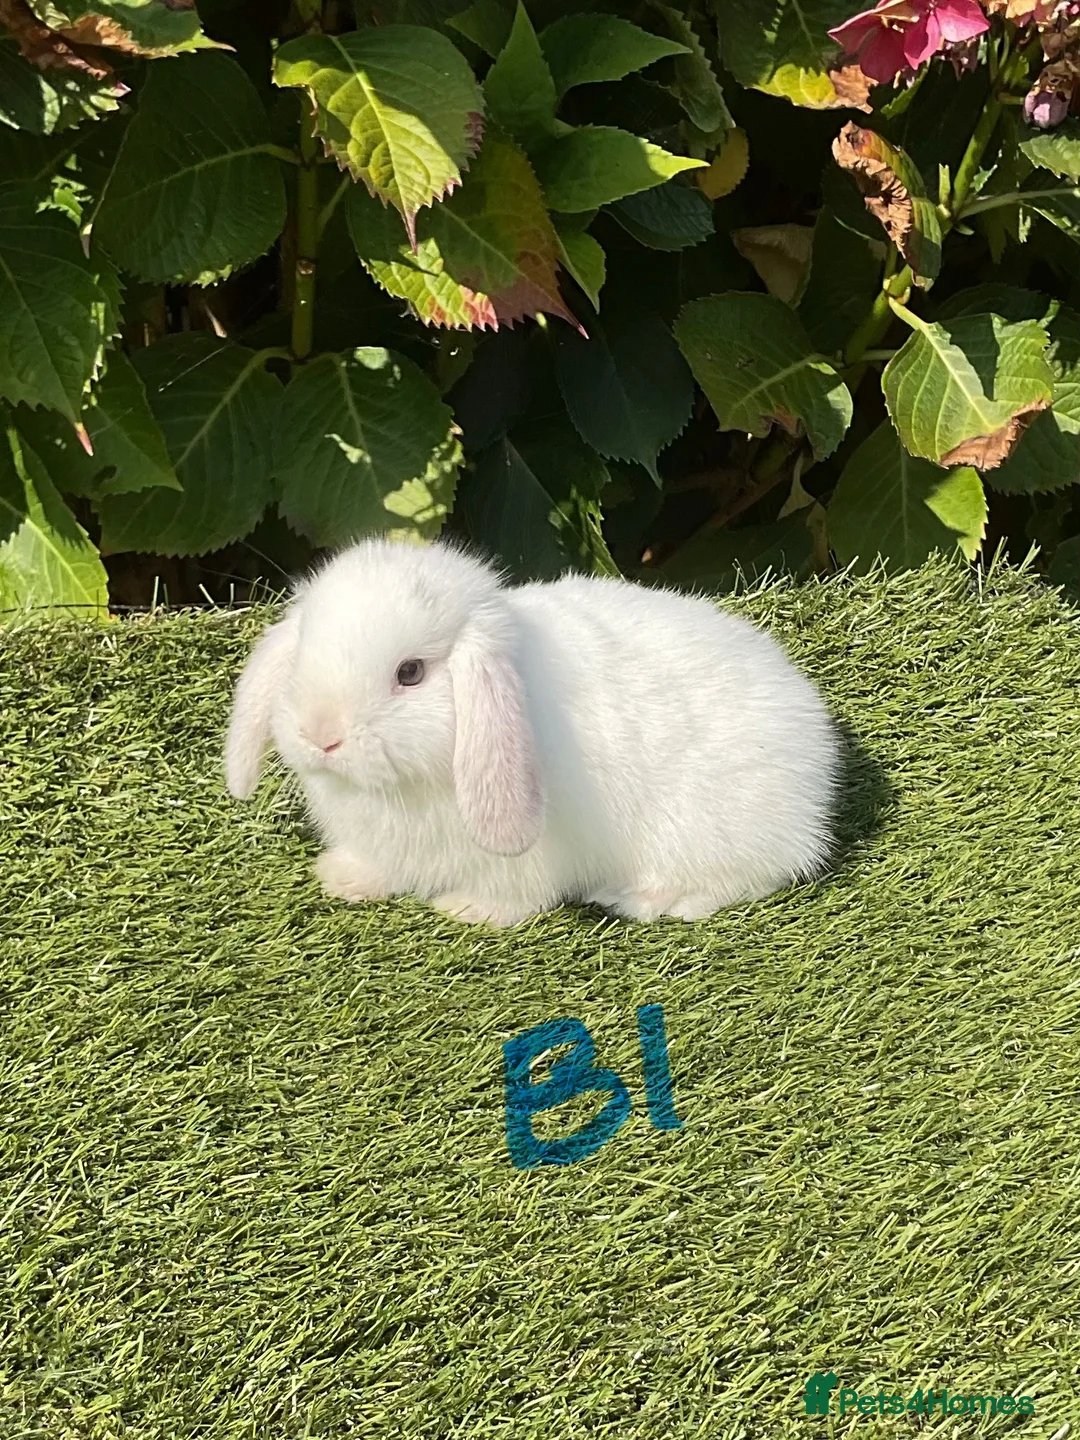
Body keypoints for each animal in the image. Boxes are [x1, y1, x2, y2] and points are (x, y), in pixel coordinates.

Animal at [225, 534, 842, 928]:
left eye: (410, 672)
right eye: (304, 651)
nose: (320, 735)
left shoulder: (528, 859)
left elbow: (514, 894)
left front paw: (468, 910)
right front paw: (341, 878)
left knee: (744, 880)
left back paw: (646, 899)